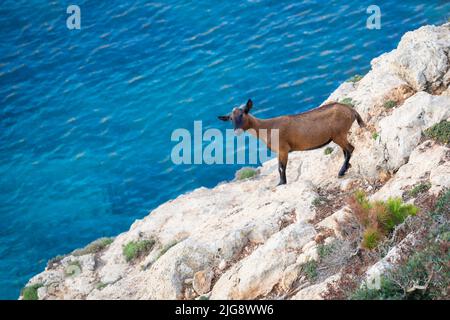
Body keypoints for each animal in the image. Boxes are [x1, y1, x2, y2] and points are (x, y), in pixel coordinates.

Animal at [219, 99, 366, 186]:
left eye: (243, 113)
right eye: (230, 118)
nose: (237, 131)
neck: (267, 128)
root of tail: (352, 111)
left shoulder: (283, 149)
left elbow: (281, 168)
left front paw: (281, 183)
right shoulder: (279, 152)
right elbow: (279, 167)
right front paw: (281, 182)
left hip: (338, 134)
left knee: (350, 149)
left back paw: (341, 172)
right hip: (339, 135)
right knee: (346, 151)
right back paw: (346, 168)